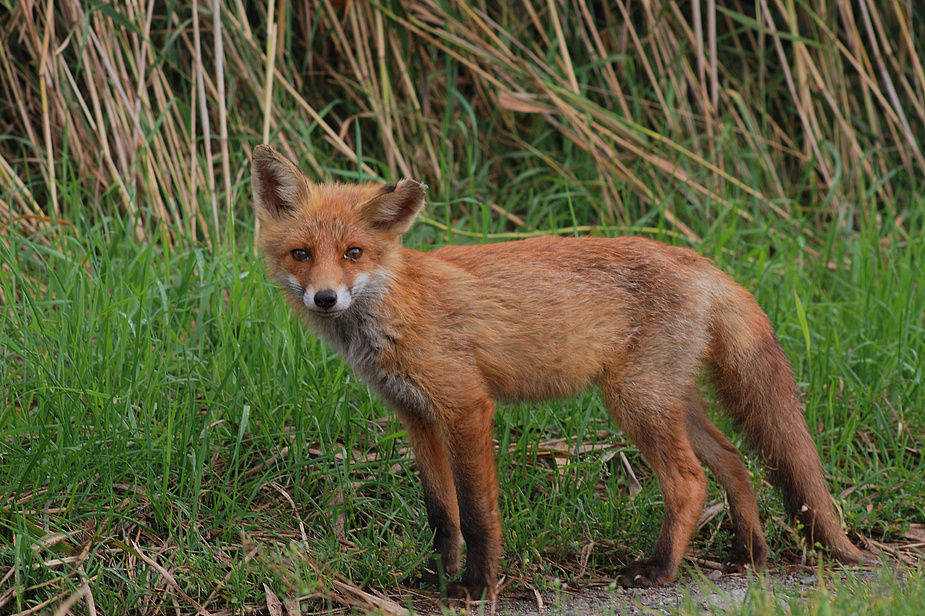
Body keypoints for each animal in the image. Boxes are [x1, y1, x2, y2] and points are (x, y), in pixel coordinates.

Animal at [249, 143, 864, 596]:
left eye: (353, 253)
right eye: (301, 254)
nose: (325, 298)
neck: (399, 310)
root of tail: (699, 260)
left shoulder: (466, 406)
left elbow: (477, 512)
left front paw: (477, 586)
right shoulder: (415, 416)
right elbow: (441, 513)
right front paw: (434, 577)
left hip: (635, 399)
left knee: (690, 482)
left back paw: (659, 570)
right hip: (670, 399)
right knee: (735, 461)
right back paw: (747, 555)